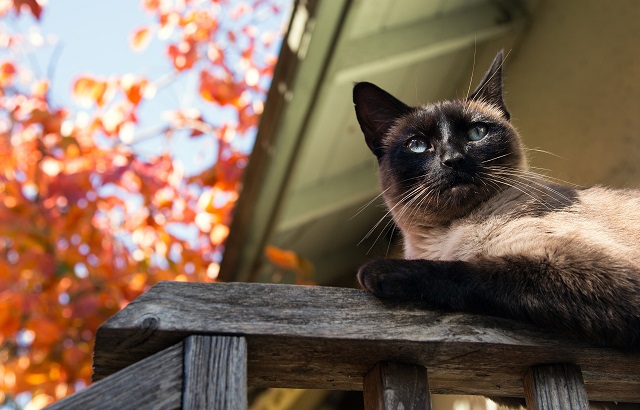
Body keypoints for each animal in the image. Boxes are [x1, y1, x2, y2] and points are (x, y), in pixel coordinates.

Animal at [352, 48, 640, 350]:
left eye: (477, 133)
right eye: (418, 145)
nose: (453, 160)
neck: (443, 238)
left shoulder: (582, 266)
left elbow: (466, 271)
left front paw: (376, 271)